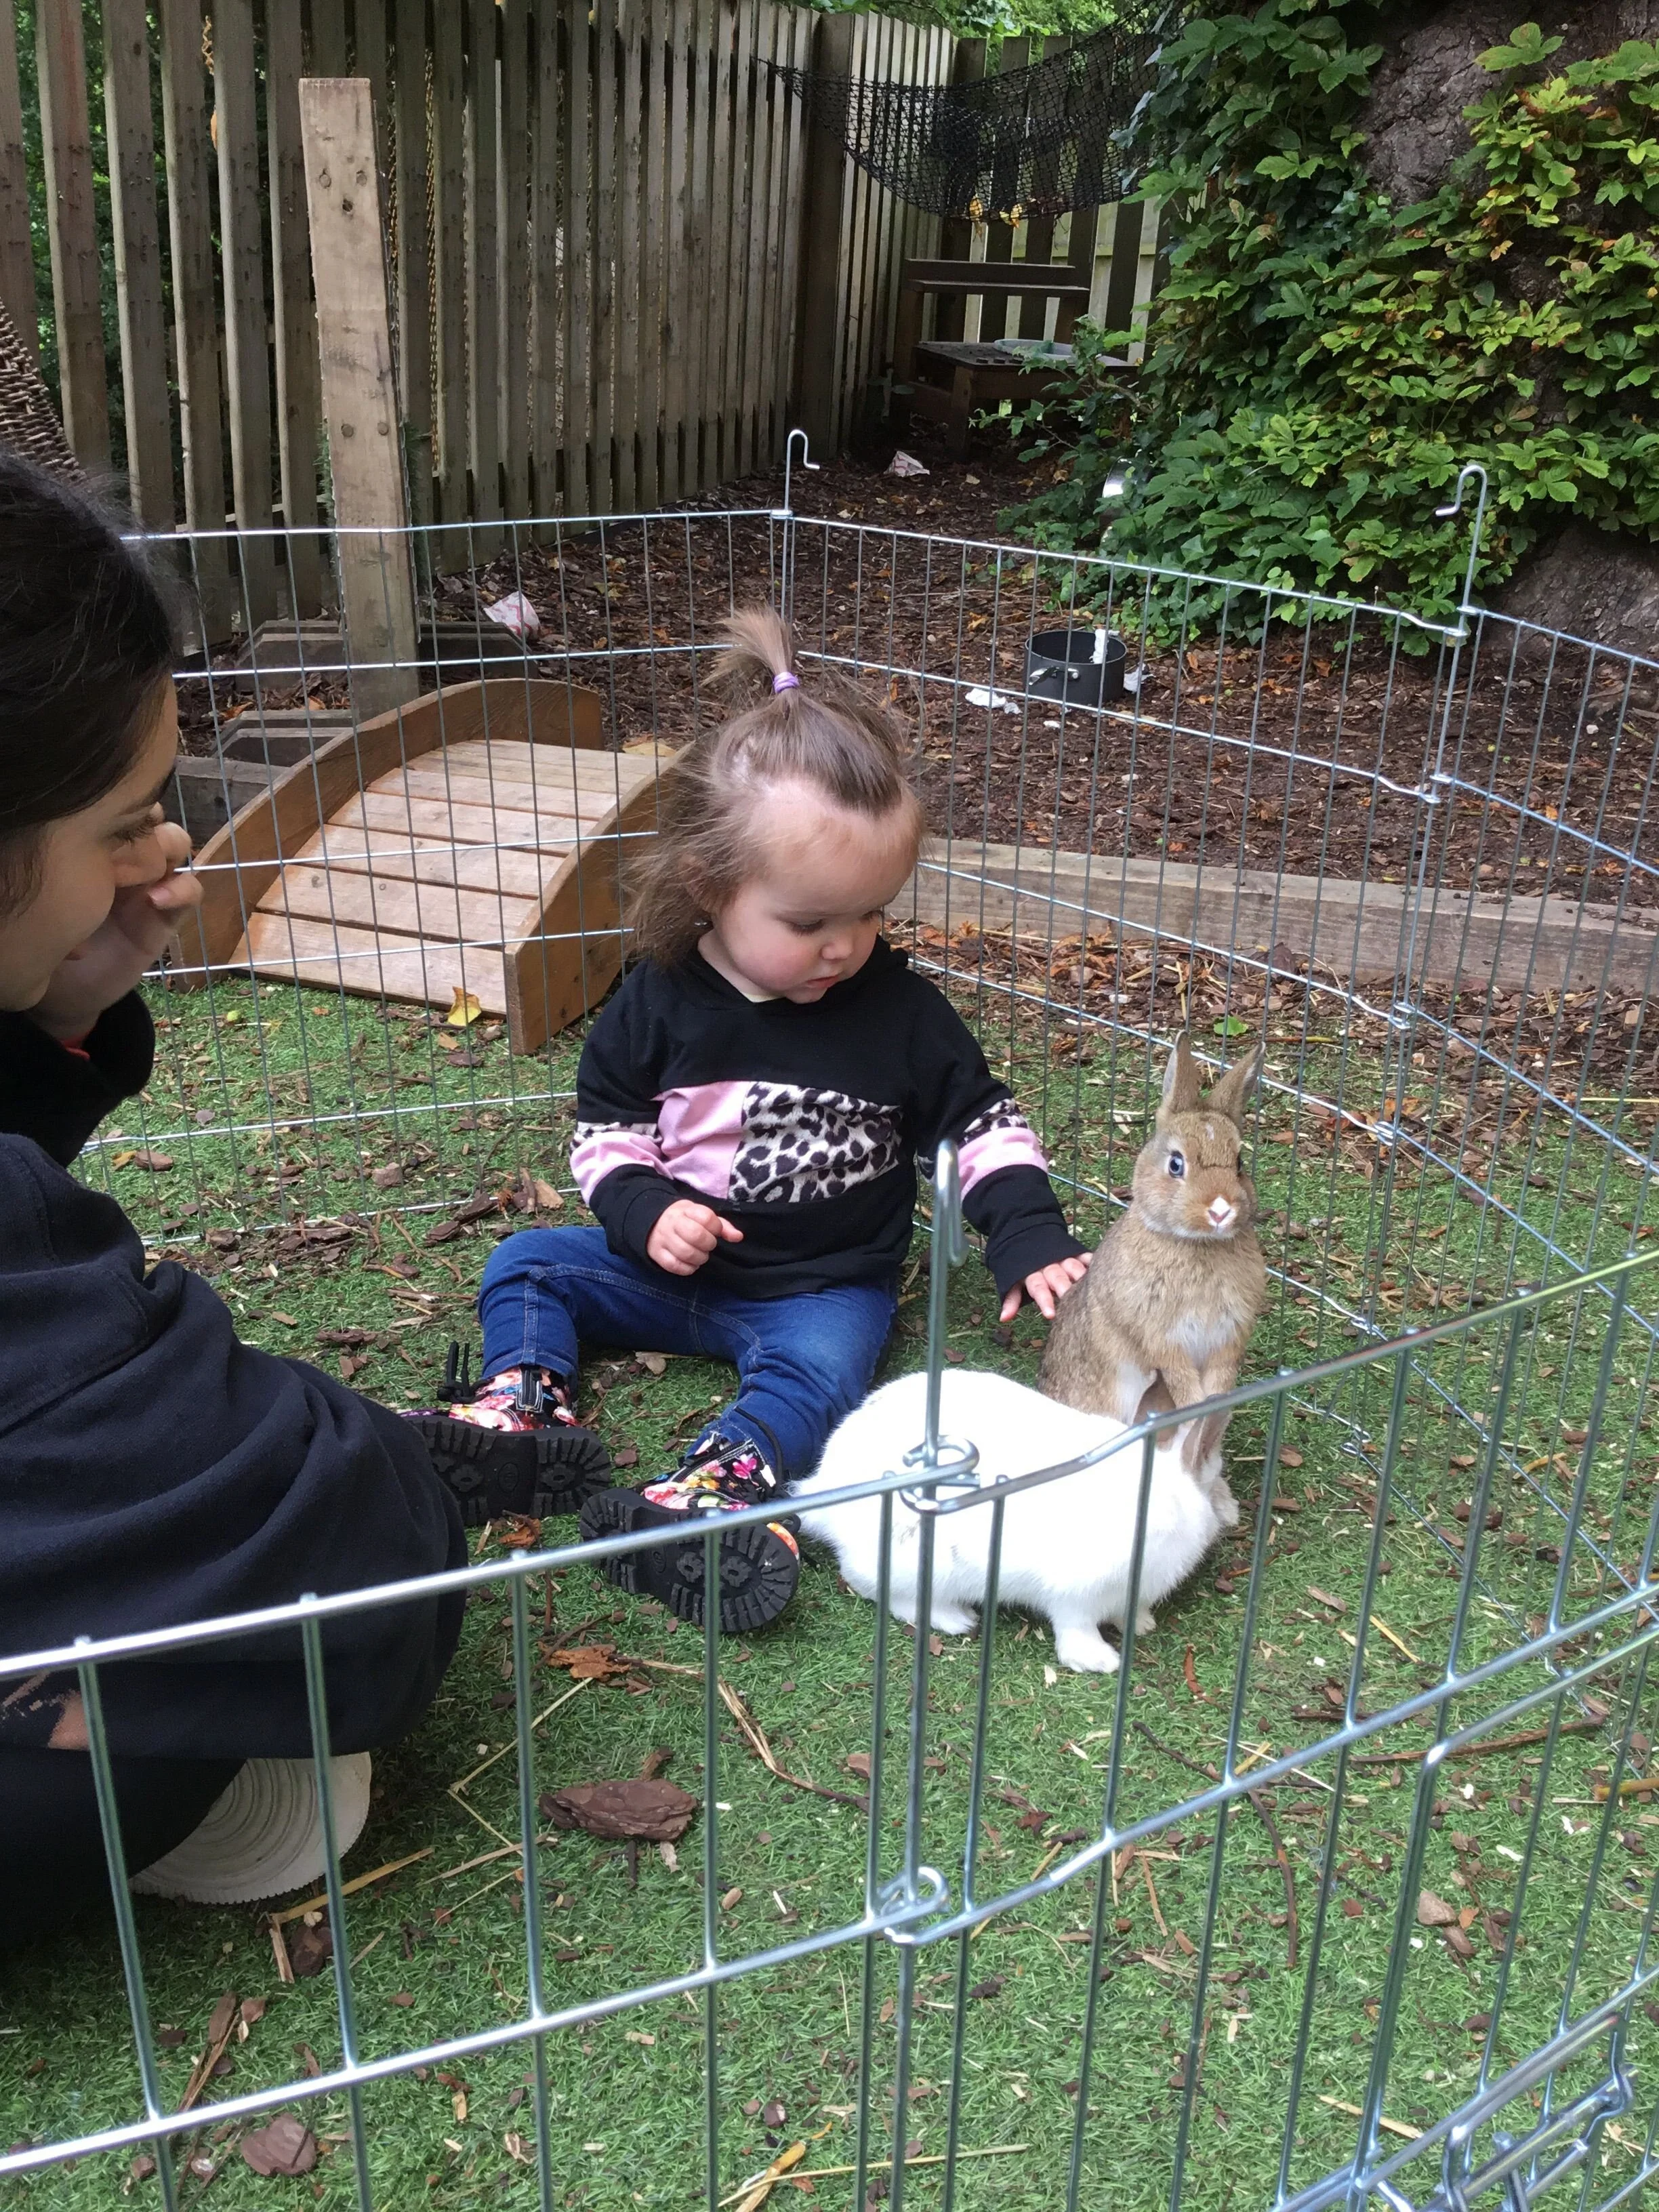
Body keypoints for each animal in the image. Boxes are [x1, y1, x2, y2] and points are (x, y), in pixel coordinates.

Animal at [792, 1367, 1236, 1674]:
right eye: (1217, 1481)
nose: (1229, 1512)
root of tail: (827, 1491)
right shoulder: (1078, 1591)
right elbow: (1075, 1628)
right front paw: (1099, 1660)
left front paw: (1140, 1624)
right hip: (911, 1563)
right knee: (884, 1593)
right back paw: (956, 1619)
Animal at [1039, 1032, 1267, 1476]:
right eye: (1176, 1165)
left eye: (1239, 1163)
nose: (1221, 1210)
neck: (1196, 1245)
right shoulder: (1162, 1337)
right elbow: (1185, 1386)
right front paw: (1196, 1425)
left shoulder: (1227, 1340)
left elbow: (1217, 1386)